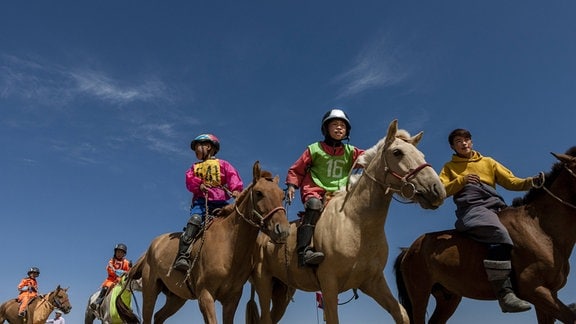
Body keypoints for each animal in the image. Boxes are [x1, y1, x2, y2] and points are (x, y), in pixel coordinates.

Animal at [116, 162, 292, 324]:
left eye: (282, 196)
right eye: (259, 193)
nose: (283, 230)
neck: (230, 247)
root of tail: (151, 248)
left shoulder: (232, 299)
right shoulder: (205, 296)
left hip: (177, 297)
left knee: (159, 316)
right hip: (150, 290)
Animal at [248, 119, 446, 324]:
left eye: (421, 155)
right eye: (397, 152)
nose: (437, 189)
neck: (356, 224)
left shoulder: (373, 282)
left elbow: (401, 313)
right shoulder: (329, 284)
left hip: (282, 290)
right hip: (264, 283)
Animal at [396, 147, 576, 324]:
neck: (541, 231)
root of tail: (409, 250)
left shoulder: (549, 294)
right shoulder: (534, 290)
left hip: (448, 298)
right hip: (420, 294)